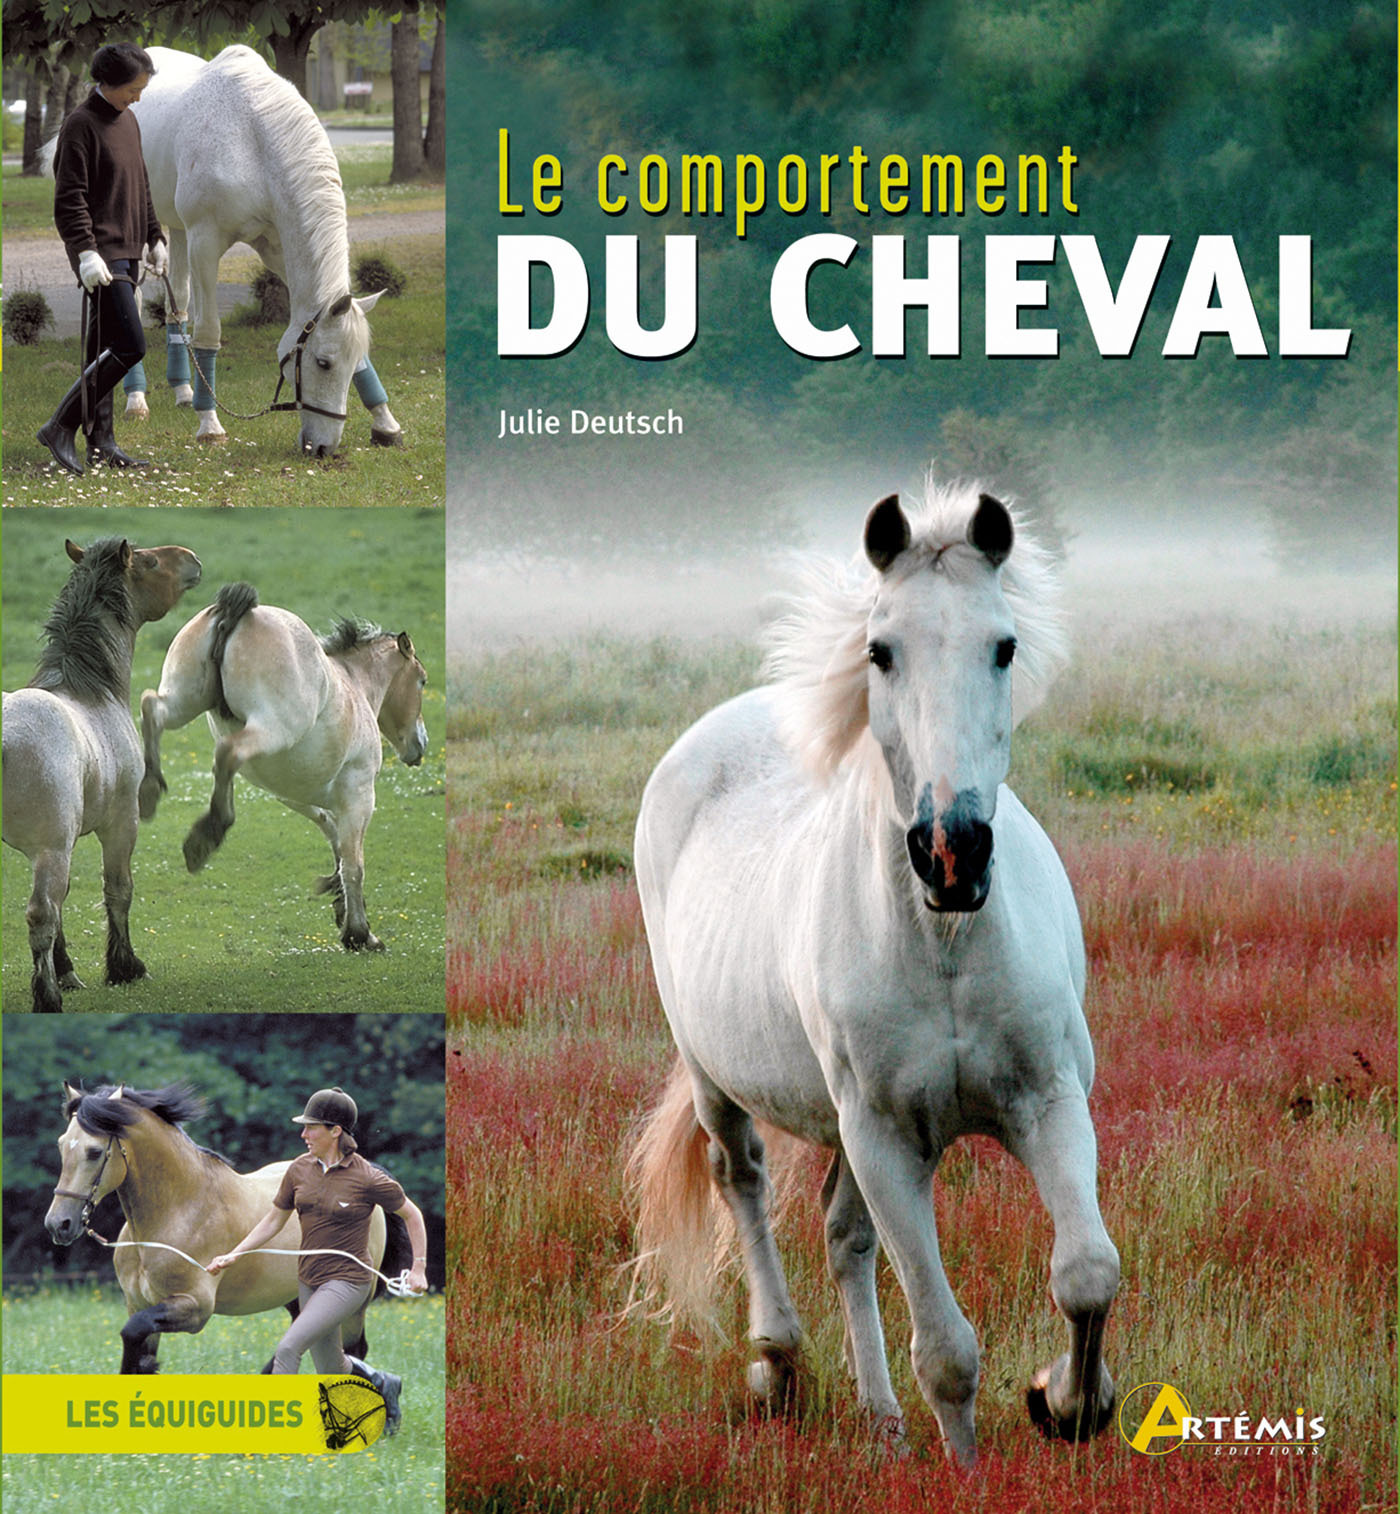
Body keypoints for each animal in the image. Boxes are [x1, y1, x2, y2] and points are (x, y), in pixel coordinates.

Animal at [2, 538, 202, 1014]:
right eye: (151, 561)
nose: (193, 559)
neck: (92, 691)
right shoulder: (119, 824)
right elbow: (117, 890)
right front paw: (125, 967)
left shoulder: (59, 846)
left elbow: (65, 901)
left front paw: (68, 969)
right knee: (40, 914)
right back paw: (47, 998)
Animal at [44, 1081, 405, 1373]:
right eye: (61, 1144)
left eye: (94, 1152)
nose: (58, 1224)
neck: (179, 1211)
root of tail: (369, 1174)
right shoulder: (140, 1304)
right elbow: (135, 1356)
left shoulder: (194, 1307)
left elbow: (132, 1332)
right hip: (300, 1296)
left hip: (352, 1300)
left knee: (351, 1350)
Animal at [126, 45, 397, 454]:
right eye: (323, 363)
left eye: (354, 363)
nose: (323, 448)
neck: (251, 140)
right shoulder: (206, 242)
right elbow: (209, 333)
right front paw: (209, 425)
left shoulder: (276, 249)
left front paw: (385, 421)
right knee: (136, 298)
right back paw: (136, 400)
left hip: (177, 230)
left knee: (178, 304)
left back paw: (184, 392)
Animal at [138, 582, 428, 952]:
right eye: (422, 681)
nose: (420, 745)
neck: (355, 686)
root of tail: (239, 612)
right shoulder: (359, 793)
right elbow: (354, 863)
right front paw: (360, 933)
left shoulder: (295, 796)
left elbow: (334, 838)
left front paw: (340, 906)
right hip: (272, 728)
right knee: (228, 751)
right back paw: (207, 834)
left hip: (185, 699)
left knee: (152, 709)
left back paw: (150, 790)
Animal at [628, 486, 1119, 1468]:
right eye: (880, 650)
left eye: (1004, 645)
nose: (952, 850)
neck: (948, 944)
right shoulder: (887, 1140)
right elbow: (948, 1351)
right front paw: (970, 1471)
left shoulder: (1047, 1101)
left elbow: (1087, 1272)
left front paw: (1068, 1402)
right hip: (721, 1080)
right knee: (742, 1178)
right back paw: (778, 1364)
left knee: (842, 1234)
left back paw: (881, 1419)